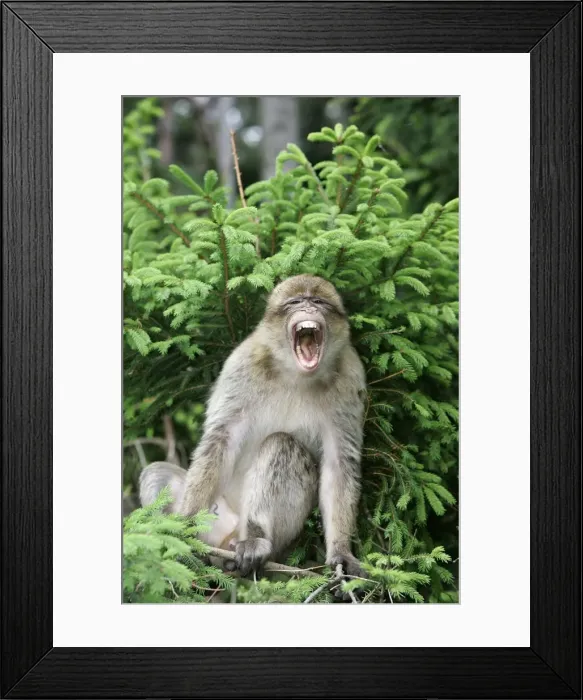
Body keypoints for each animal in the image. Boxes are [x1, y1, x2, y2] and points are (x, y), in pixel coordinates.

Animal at [139, 274, 366, 578]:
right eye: (296, 301)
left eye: (318, 301)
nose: (308, 308)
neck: (295, 374)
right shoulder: (243, 363)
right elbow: (222, 440)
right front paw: (183, 526)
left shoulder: (351, 378)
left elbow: (339, 464)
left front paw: (341, 552)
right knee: (156, 472)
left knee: (281, 444)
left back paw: (256, 540)